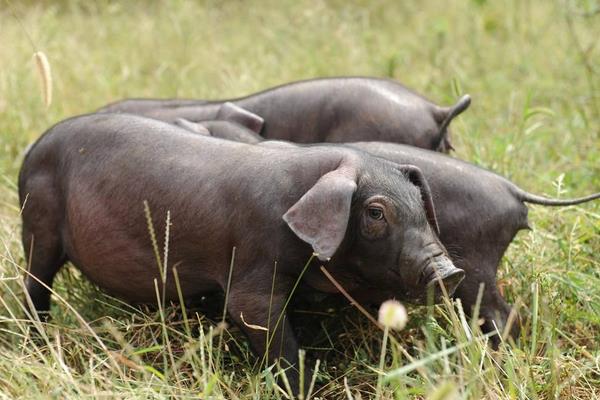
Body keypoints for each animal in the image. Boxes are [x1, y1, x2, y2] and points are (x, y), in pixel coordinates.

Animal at [19, 113, 464, 394]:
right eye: (375, 213)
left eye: (420, 205)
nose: (449, 270)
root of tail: (32, 149)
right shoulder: (251, 270)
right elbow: (264, 326)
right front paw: (305, 386)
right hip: (38, 225)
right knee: (35, 284)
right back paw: (37, 337)